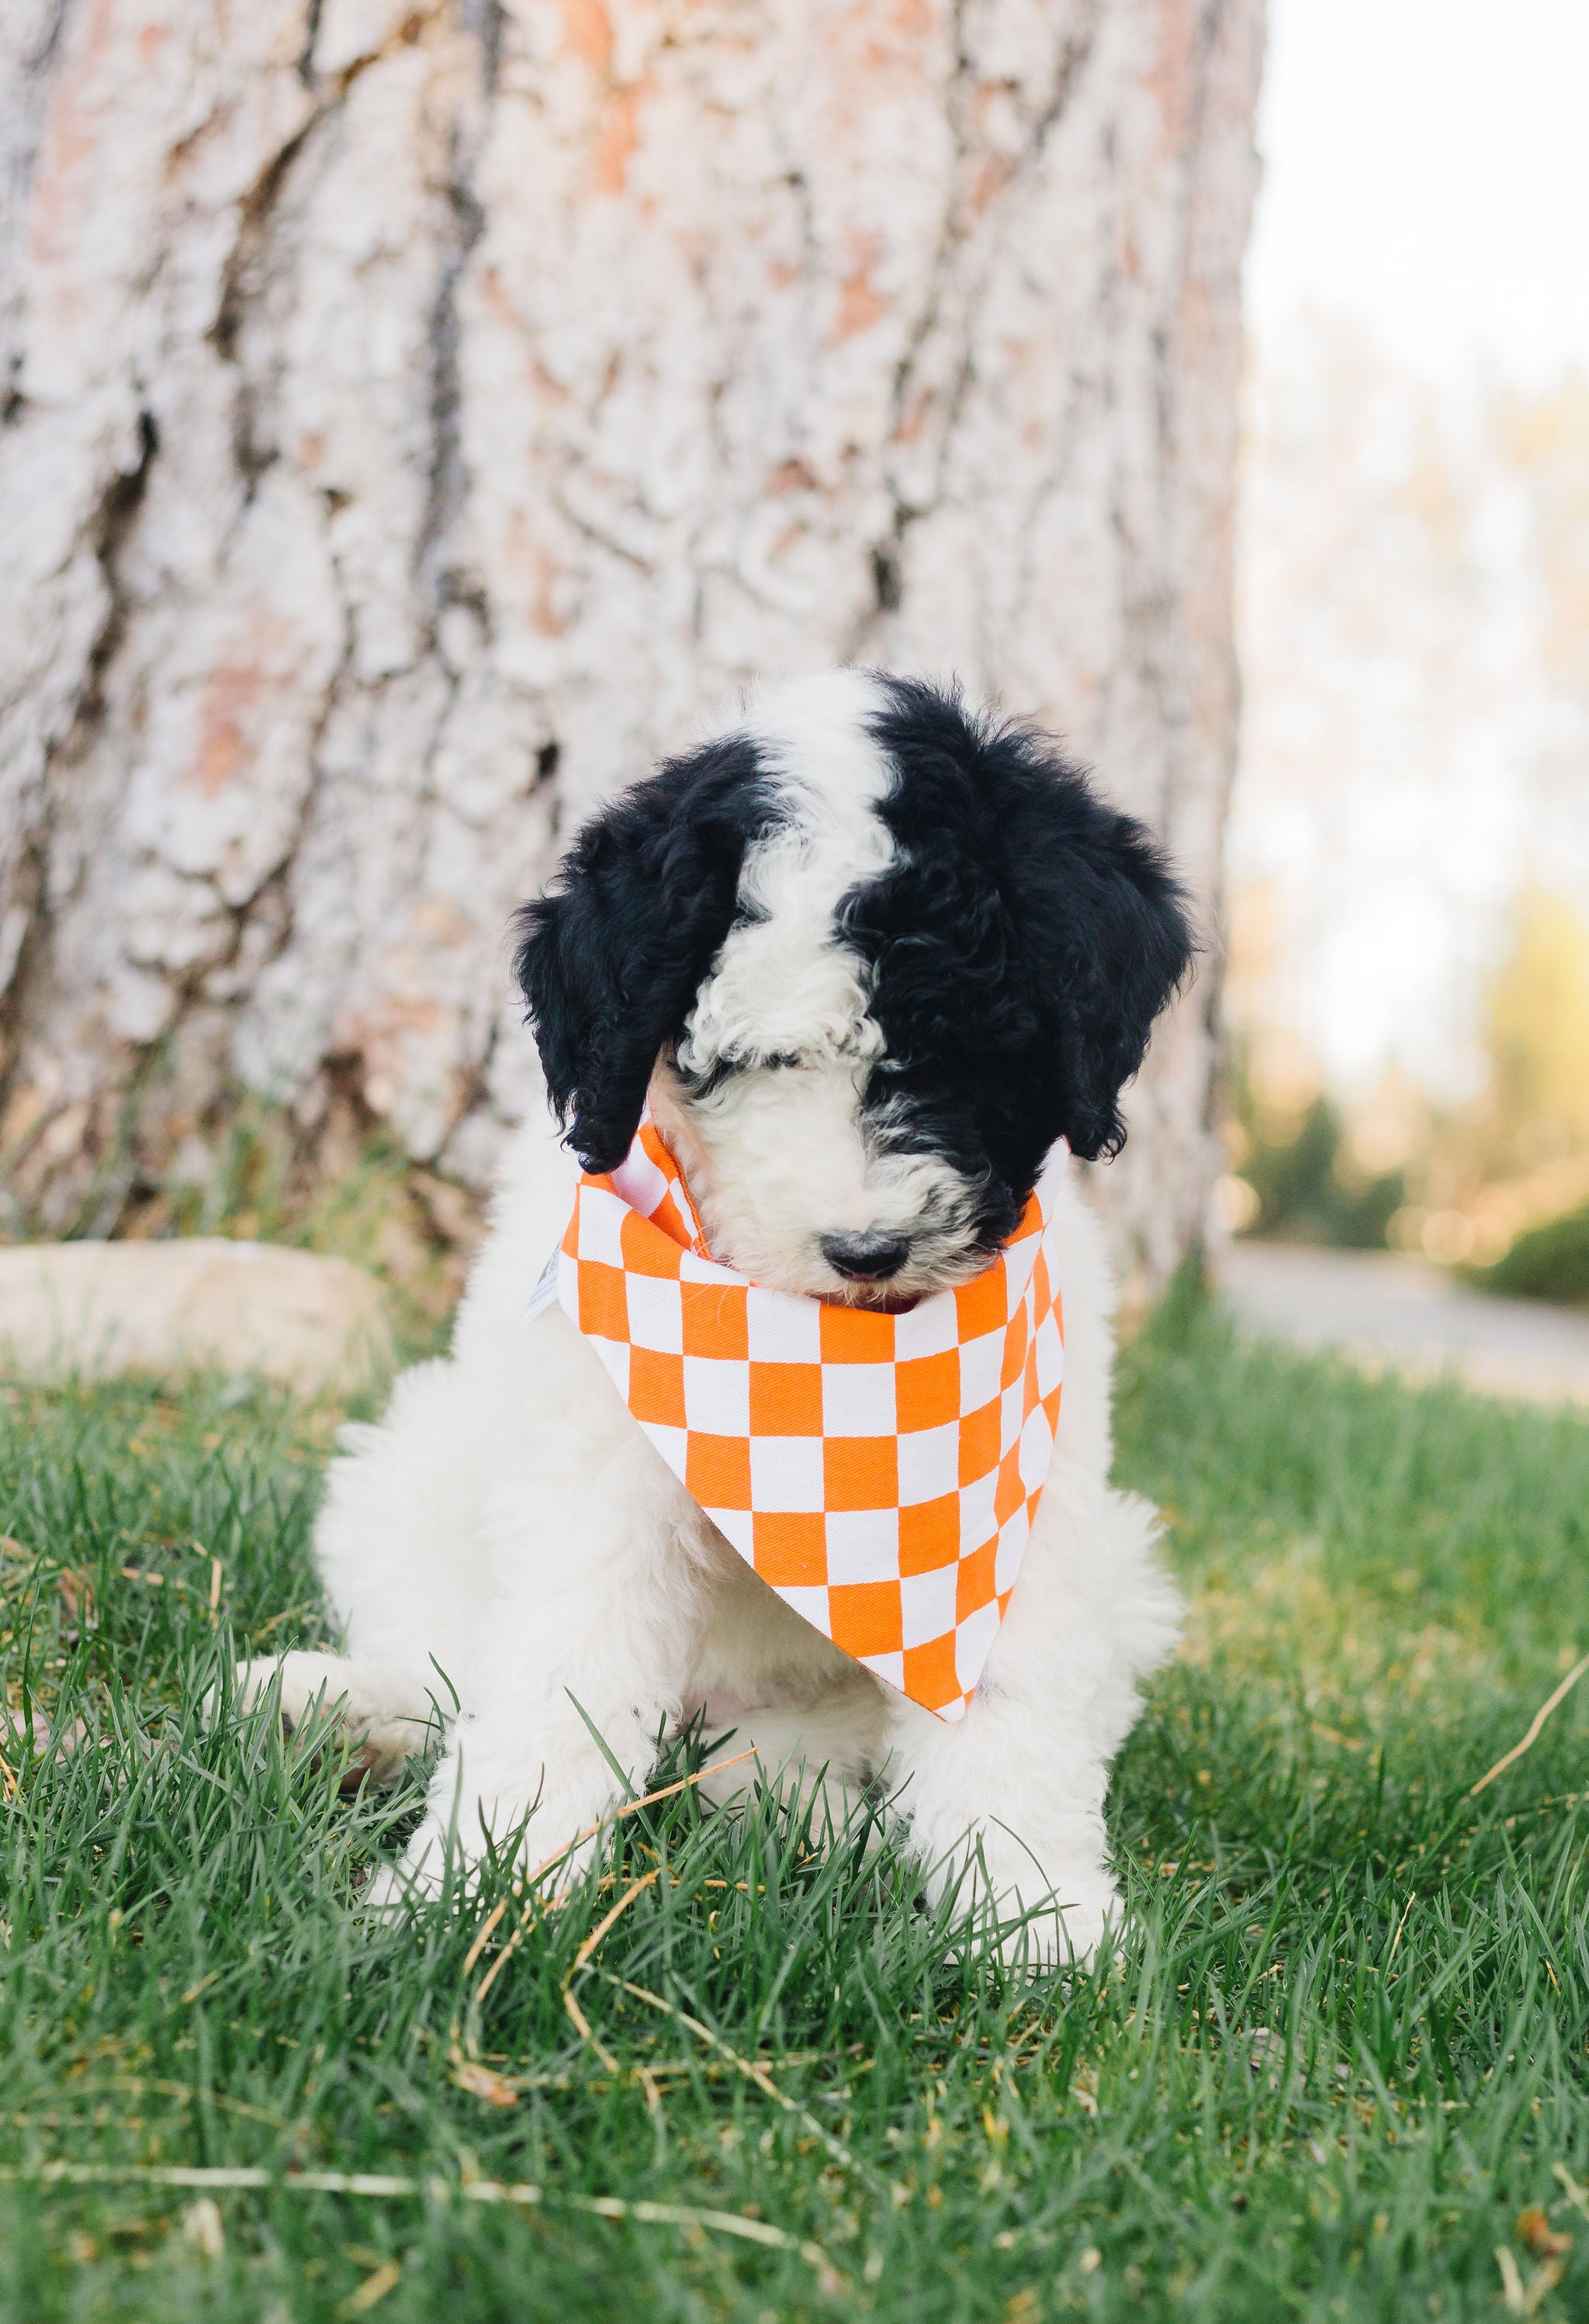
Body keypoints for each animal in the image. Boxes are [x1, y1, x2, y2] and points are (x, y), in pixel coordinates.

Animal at [235, 673, 1189, 1961]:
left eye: (962, 1050)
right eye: (746, 1063)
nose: (867, 1247)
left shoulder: (1027, 1508)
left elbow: (1009, 1707)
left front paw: (1036, 1919)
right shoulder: (594, 1470)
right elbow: (553, 1677)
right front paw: (479, 1891)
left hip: (1120, 1572)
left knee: (779, 1761)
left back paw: (807, 1812)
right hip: (410, 1464)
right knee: (447, 1668)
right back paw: (338, 1711)